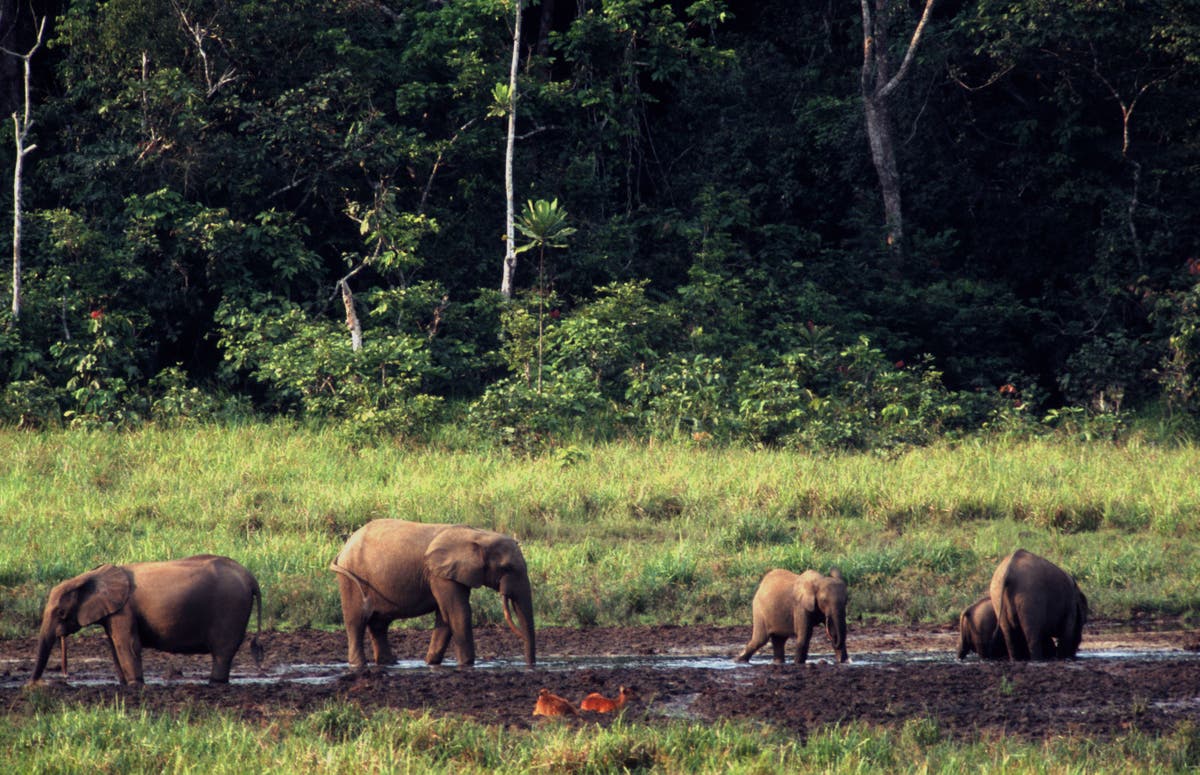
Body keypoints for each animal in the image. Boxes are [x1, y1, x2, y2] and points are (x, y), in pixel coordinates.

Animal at [29, 551, 262, 686]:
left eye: (61, 613)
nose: (33, 685)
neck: (89, 576)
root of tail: (250, 576)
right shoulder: (113, 613)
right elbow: (114, 647)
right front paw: (124, 684)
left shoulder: (124, 610)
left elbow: (127, 645)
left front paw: (135, 685)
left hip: (230, 608)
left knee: (223, 651)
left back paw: (216, 683)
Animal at [328, 518, 535, 671]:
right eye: (507, 568)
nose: (530, 666)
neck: (478, 535)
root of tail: (345, 546)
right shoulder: (441, 575)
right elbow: (458, 613)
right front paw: (467, 665)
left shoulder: (452, 574)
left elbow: (445, 616)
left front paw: (431, 663)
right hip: (351, 579)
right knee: (356, 621)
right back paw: (359, 665)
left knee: (379, 624)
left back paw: (390, 664)